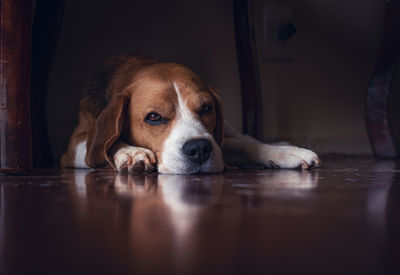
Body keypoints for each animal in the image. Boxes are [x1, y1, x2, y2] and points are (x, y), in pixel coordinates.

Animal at [61, 54, 318, 175]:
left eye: (206, 108)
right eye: (153, 117)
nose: (200, 149)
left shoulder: (216, 138)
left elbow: (244, 144)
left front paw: (284, 153)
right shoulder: (73, 147)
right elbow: (102, 144)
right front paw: (130, 152)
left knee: (245, 138)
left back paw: (283, 147)